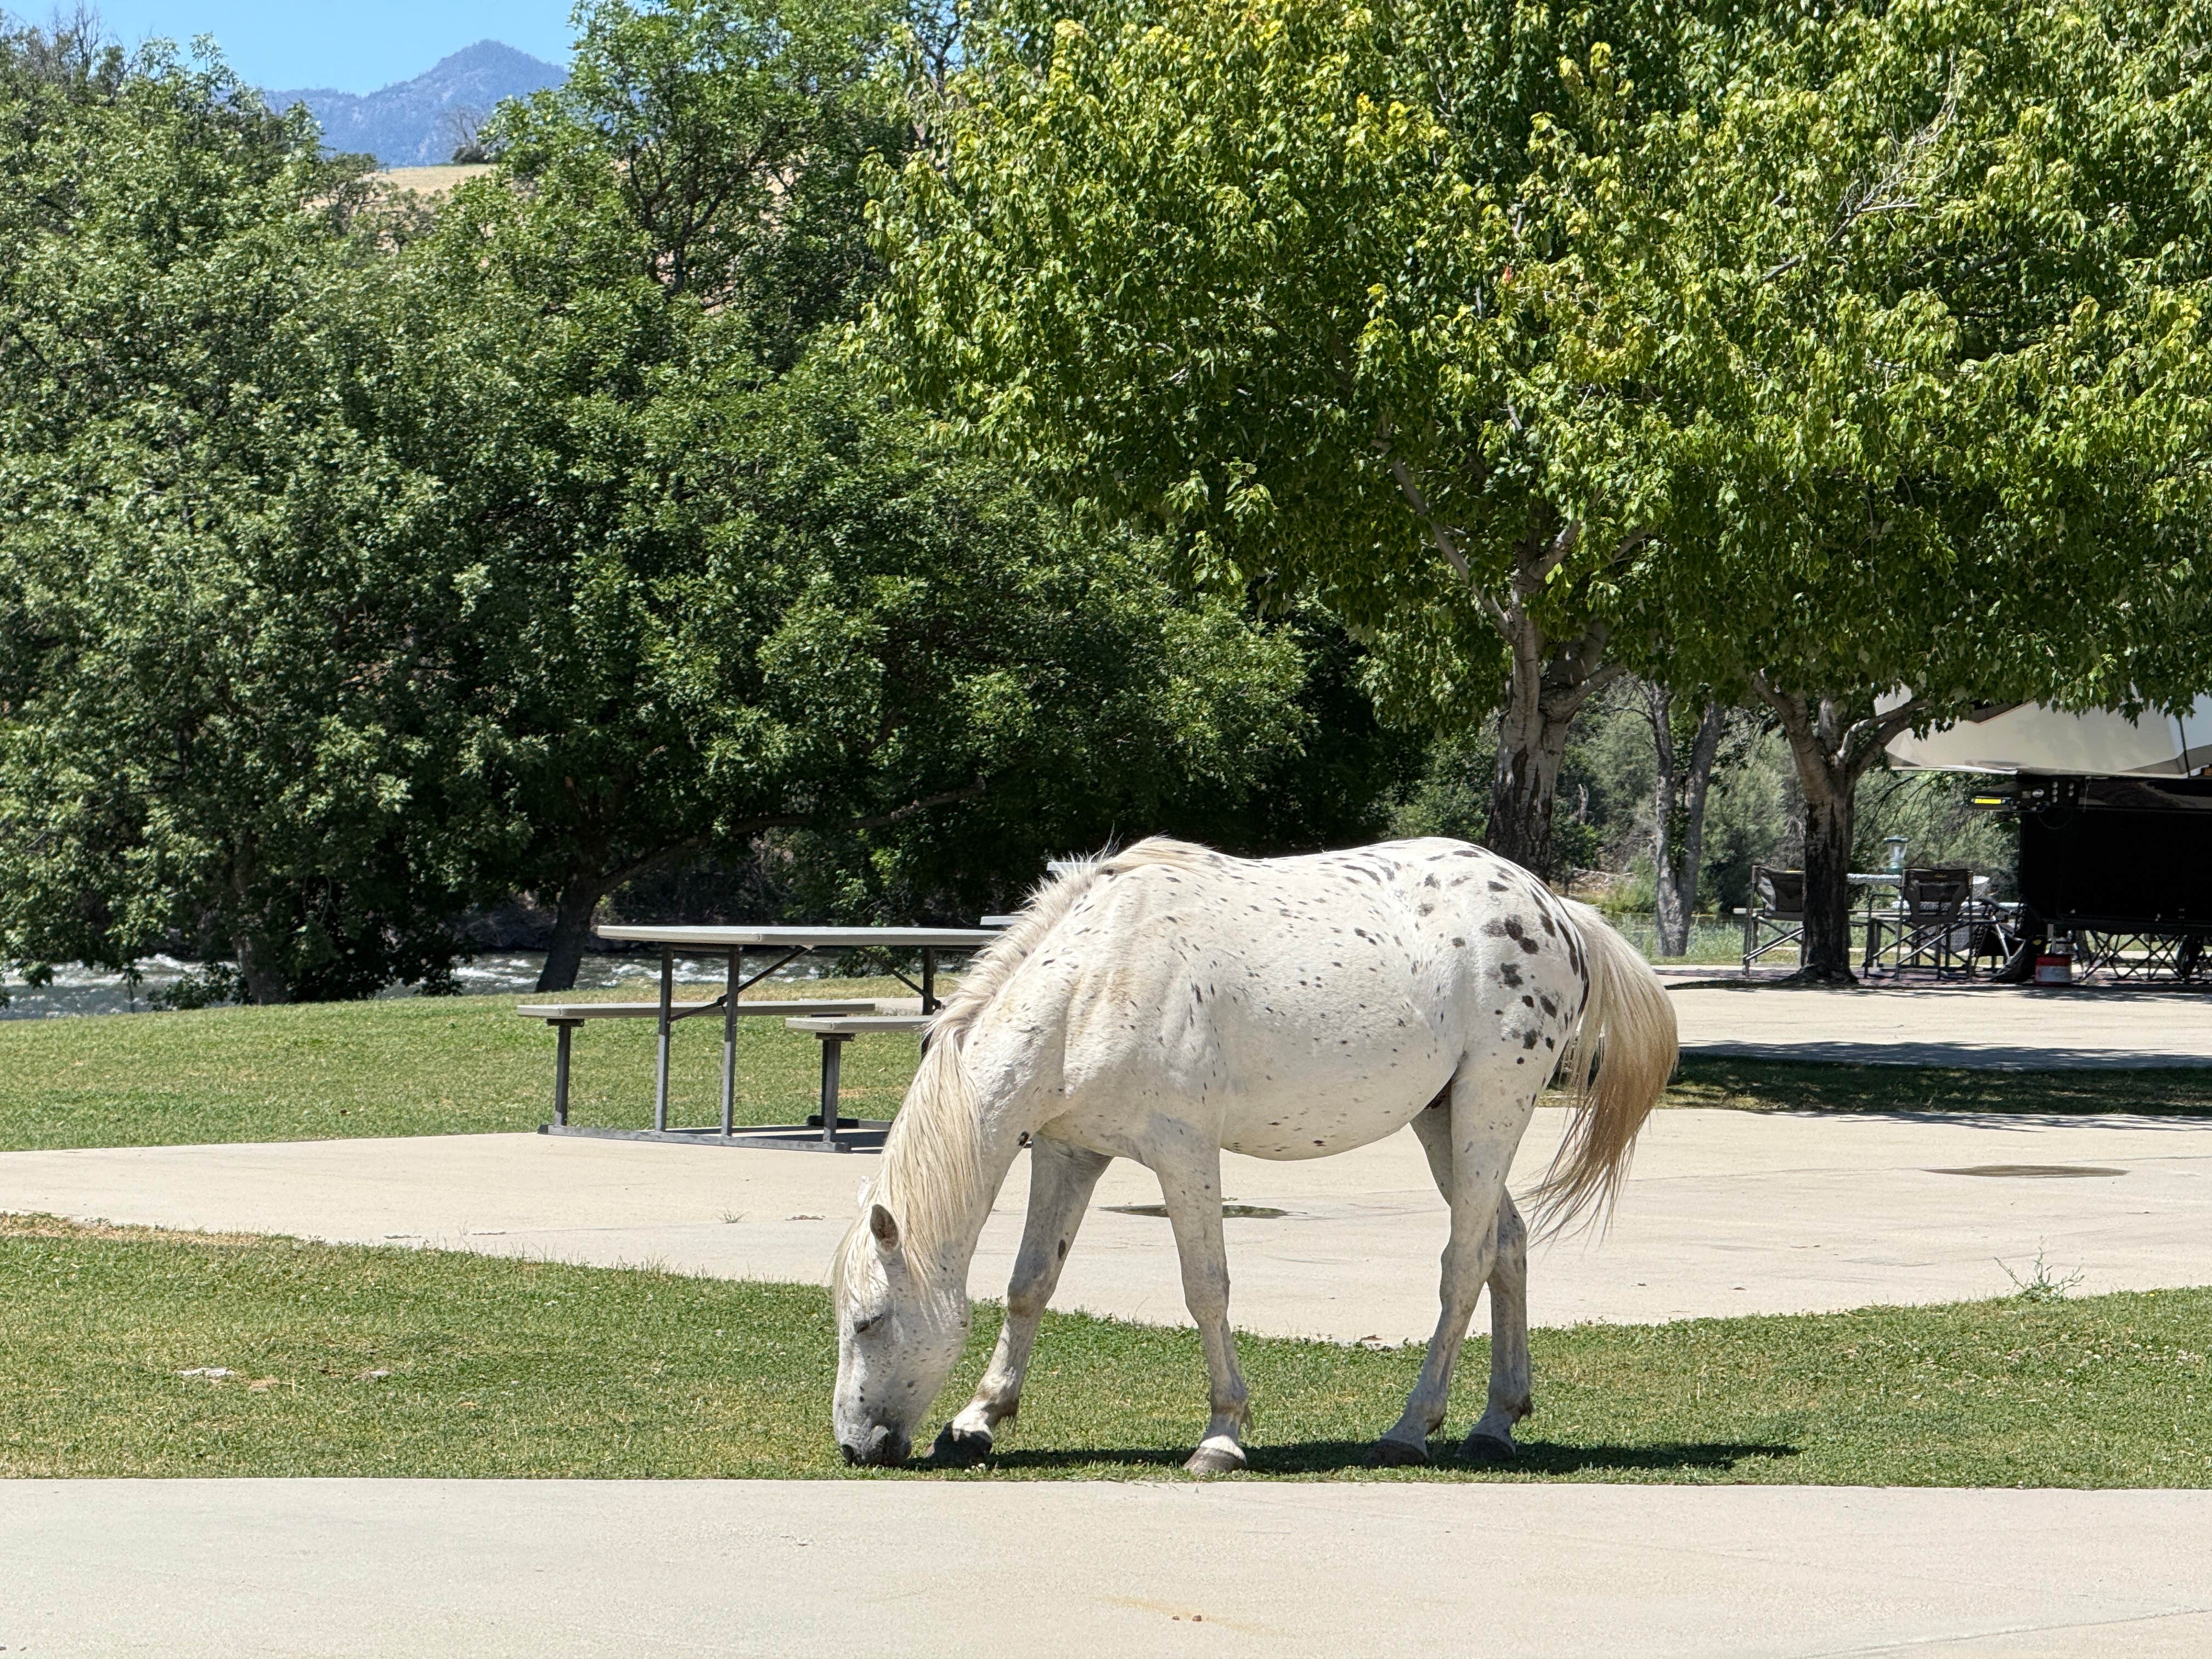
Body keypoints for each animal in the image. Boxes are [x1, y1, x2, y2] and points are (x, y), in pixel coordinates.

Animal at [831, 836, 1677, 1472]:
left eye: (869, 1322)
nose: (854, 1448)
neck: (1094, 983)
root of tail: (1554, 909)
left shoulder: (1183, 1153)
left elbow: (1207, 1289)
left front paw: (1222, 1434)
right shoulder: (1068, 1154)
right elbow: (1029, 1284)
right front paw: (978, 1419)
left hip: (1489, 1112)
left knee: (1464, 1264)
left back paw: (1411, 1428)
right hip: (1444, 1121)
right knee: (1507, 1244)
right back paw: (1495, 1423)